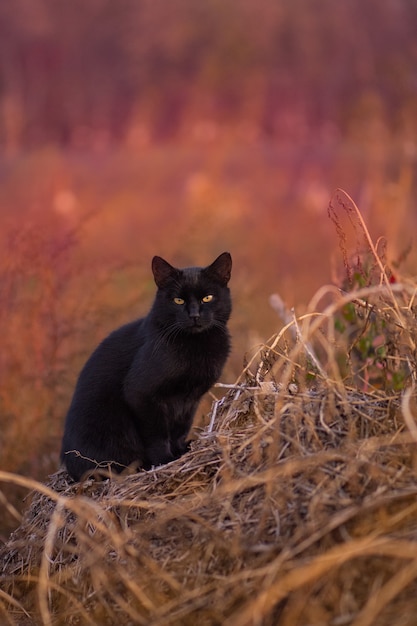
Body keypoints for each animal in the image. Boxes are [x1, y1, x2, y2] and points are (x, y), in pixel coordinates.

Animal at [60, 251, 232, 480]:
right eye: (178, 300)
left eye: (208, 298)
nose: (194, 315)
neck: (196, 346)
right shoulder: (141, 394)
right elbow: (157, 434)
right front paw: (164, 461)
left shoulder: (190, 399)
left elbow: (180, 428)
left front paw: (182, 451)